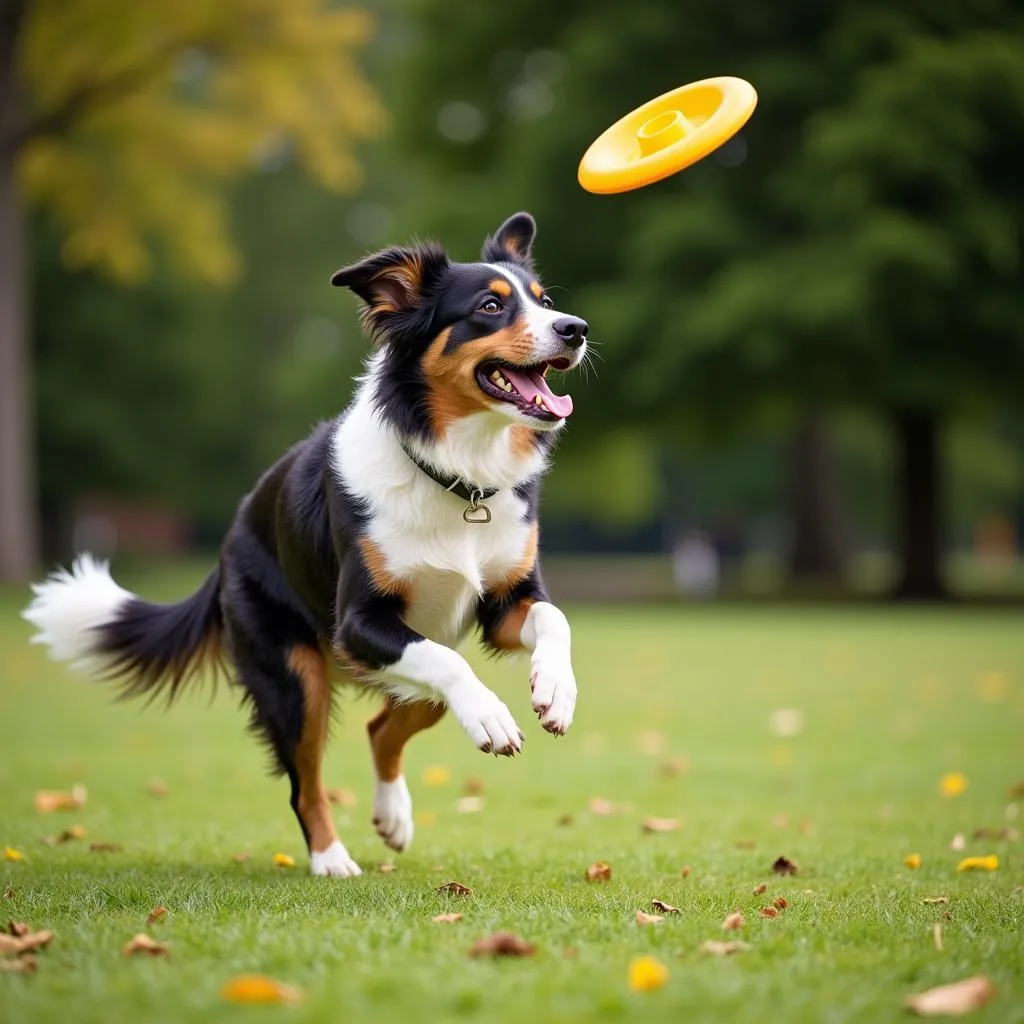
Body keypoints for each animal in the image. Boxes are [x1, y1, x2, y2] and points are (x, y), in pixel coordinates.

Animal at [22, 211, 585, 876]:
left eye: (544, 301)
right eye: (490, 306)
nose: (575, 329)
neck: (454, 472)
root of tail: (230, 538)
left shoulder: (501, 603)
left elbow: (552, 618)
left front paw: (555, 692)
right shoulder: (360, 622)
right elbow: (453, 670)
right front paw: (495, 720)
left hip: (415, 650)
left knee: (387, 725)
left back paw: (392, 818)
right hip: (297, 678)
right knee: (307, 780)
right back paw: (331, 858)